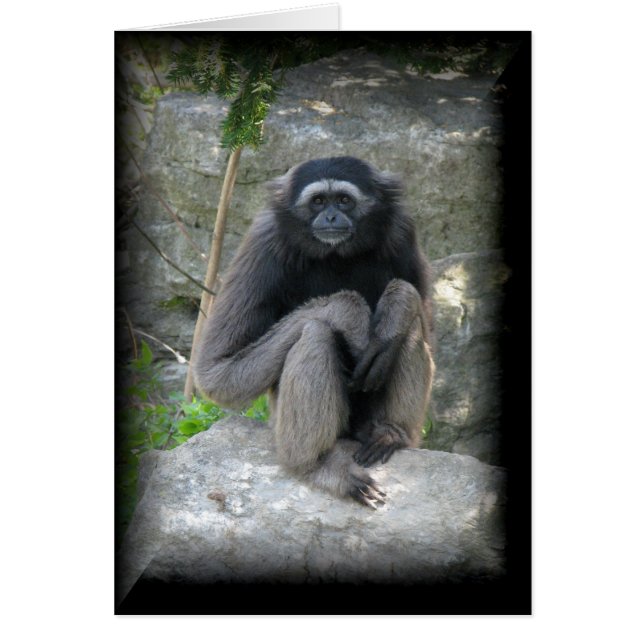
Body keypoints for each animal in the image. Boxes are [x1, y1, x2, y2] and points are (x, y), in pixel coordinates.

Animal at [194, 156, 433, 508]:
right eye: (318, 201)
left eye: (344, 200)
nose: (331, 216)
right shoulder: (264, 240)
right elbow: (216, 373)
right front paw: (347, 312)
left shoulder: (403, 229)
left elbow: (420, 318)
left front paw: (396, 306)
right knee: (316, 331)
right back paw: (316, 466)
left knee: (406, 330)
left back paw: (390, 433)